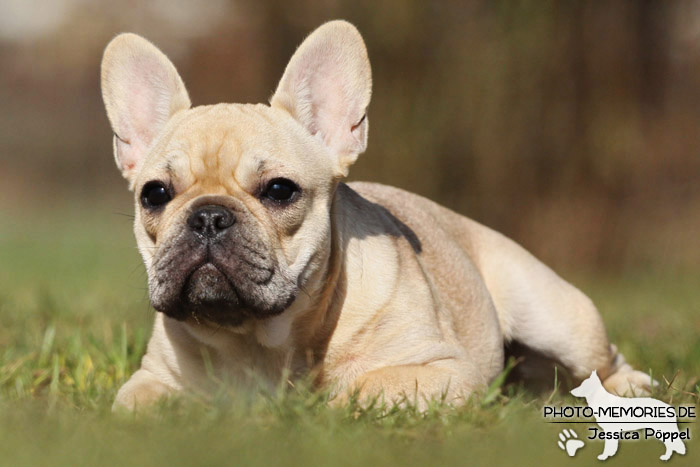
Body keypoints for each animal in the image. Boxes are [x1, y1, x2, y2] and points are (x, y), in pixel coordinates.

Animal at [101, 20, 652, 412]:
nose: (208, 216)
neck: (261, 338)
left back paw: (629, 390)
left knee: (602, 360)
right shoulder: (148, 382)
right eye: (154, 194)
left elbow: (364, 389)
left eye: (279, 190)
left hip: (555, 313)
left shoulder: (442, 370)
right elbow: (144, 404)